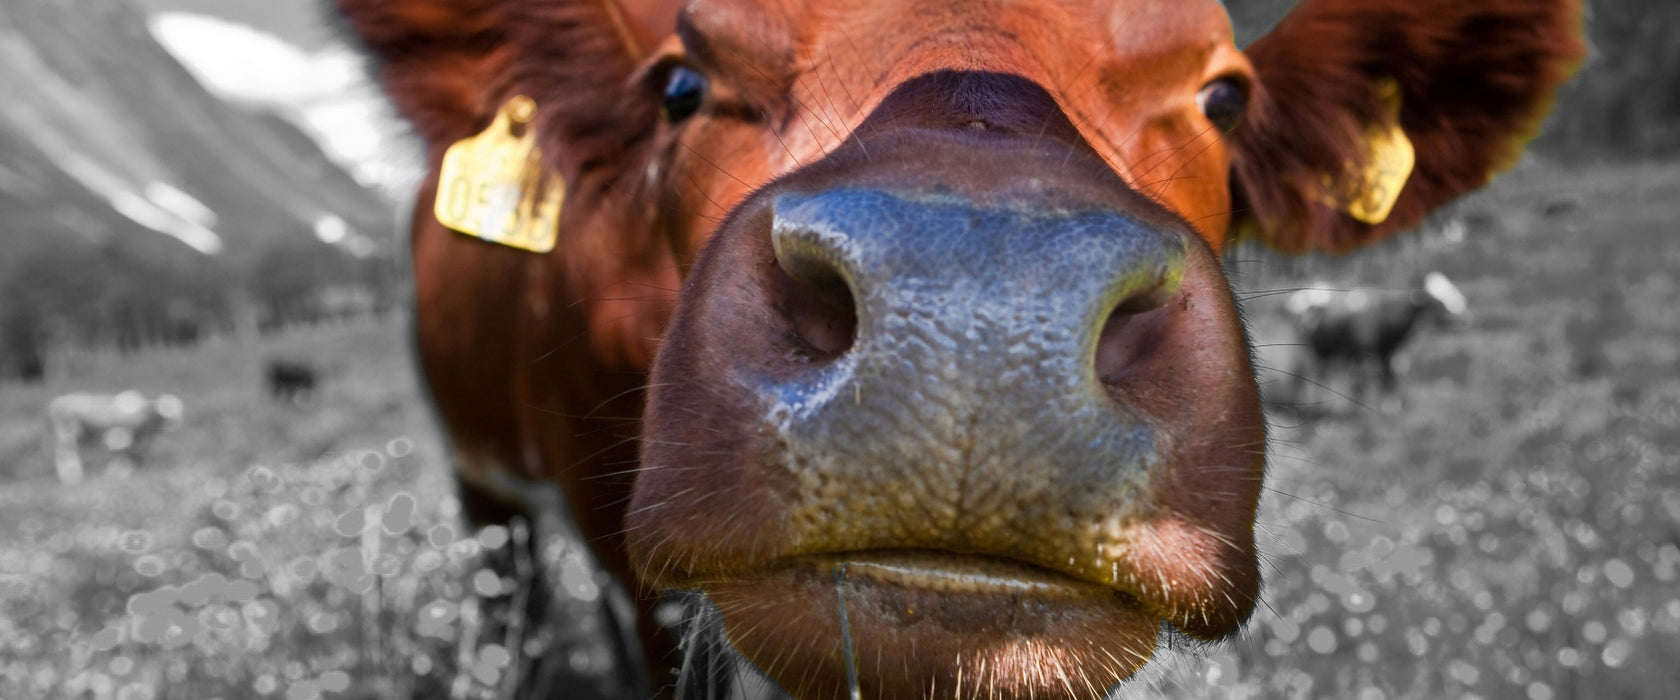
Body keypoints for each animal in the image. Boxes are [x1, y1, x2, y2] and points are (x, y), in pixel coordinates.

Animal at [46, 389, 183, 483]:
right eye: (163, 410)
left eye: (176, 411)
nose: (172, 425)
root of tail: (59, 401)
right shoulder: (120, 436)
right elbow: (122, 454)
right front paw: (118, 473)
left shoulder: (139, 440)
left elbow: (136, 455)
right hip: (68, 434)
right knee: (64, 454)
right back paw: (71, 477)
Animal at [1283, 270, 1471, 406]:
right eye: (1435, 300)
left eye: (1452, 288)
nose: (1462, 316)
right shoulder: (1364, 353)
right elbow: (1364, 381)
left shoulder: (1395, 355)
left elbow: (1390, 378)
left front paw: (1390, 407)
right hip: (1300, 350)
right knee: (1299, 376)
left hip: (1324, 351)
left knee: (1320, 374)